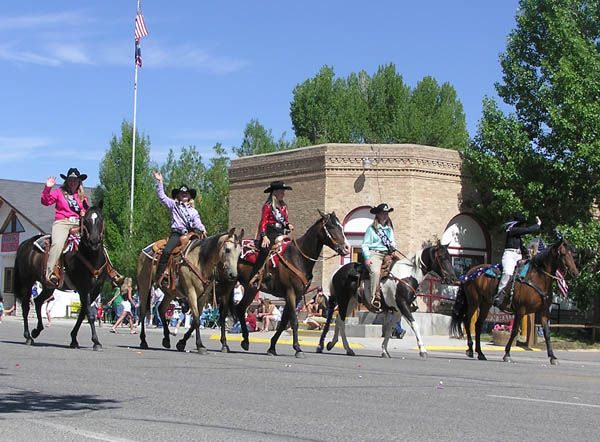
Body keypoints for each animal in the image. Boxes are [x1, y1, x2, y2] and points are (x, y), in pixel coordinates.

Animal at [13, 205, 109, 350]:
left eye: (101, 219)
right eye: (86, 220)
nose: (94, 241)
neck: (90, 257)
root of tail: (24, 244)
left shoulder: (95, 290)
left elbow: (82, 314)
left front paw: (74, 339)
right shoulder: (84, 289)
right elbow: (90, 315)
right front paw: (96, 342)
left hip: (48, 286)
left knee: (38, 301)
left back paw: (37, 331)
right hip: (28, 282)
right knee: (26, 306)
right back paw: (28, 336)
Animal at [216, 211, 350, 360]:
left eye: (340, 226)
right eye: (331, 227)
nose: (346, 248)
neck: (298, 257)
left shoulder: (297, 296)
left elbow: (284, 322)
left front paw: (272, 347)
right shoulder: (290, 292)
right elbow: (294, 321)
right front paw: (298, 349)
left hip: (251, 288)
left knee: (240, 309)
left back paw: (245, 341)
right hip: (228, 284)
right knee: (223, 313)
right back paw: (224, 345)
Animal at [318, 242, 454, 360]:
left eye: (450, 256)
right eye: (442, 257)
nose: (453, 278)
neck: (408, 275)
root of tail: (338, 270)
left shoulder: (398, 310)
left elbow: (389, 328)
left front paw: (384, 351)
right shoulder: (403, 305)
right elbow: (414, 325)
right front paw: (423, 350)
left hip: (351, 302)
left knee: (339, 320)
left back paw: (333, 344)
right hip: (343, 300)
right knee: (341, 322)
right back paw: (347, 348)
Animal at [452, 237, 580, 364]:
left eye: (572, 254)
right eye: (563, 254)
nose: (575, 273)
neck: (537, 278)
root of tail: (469, 272)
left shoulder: (543, 312)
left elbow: (547, 333)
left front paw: (553, 357)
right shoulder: (520, 310)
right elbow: (514, 332)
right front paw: (507, 354)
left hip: (485, 304)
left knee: (478, 324)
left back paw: (480, 353)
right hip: (473, 302)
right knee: (467, 321)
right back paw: (470, 349)